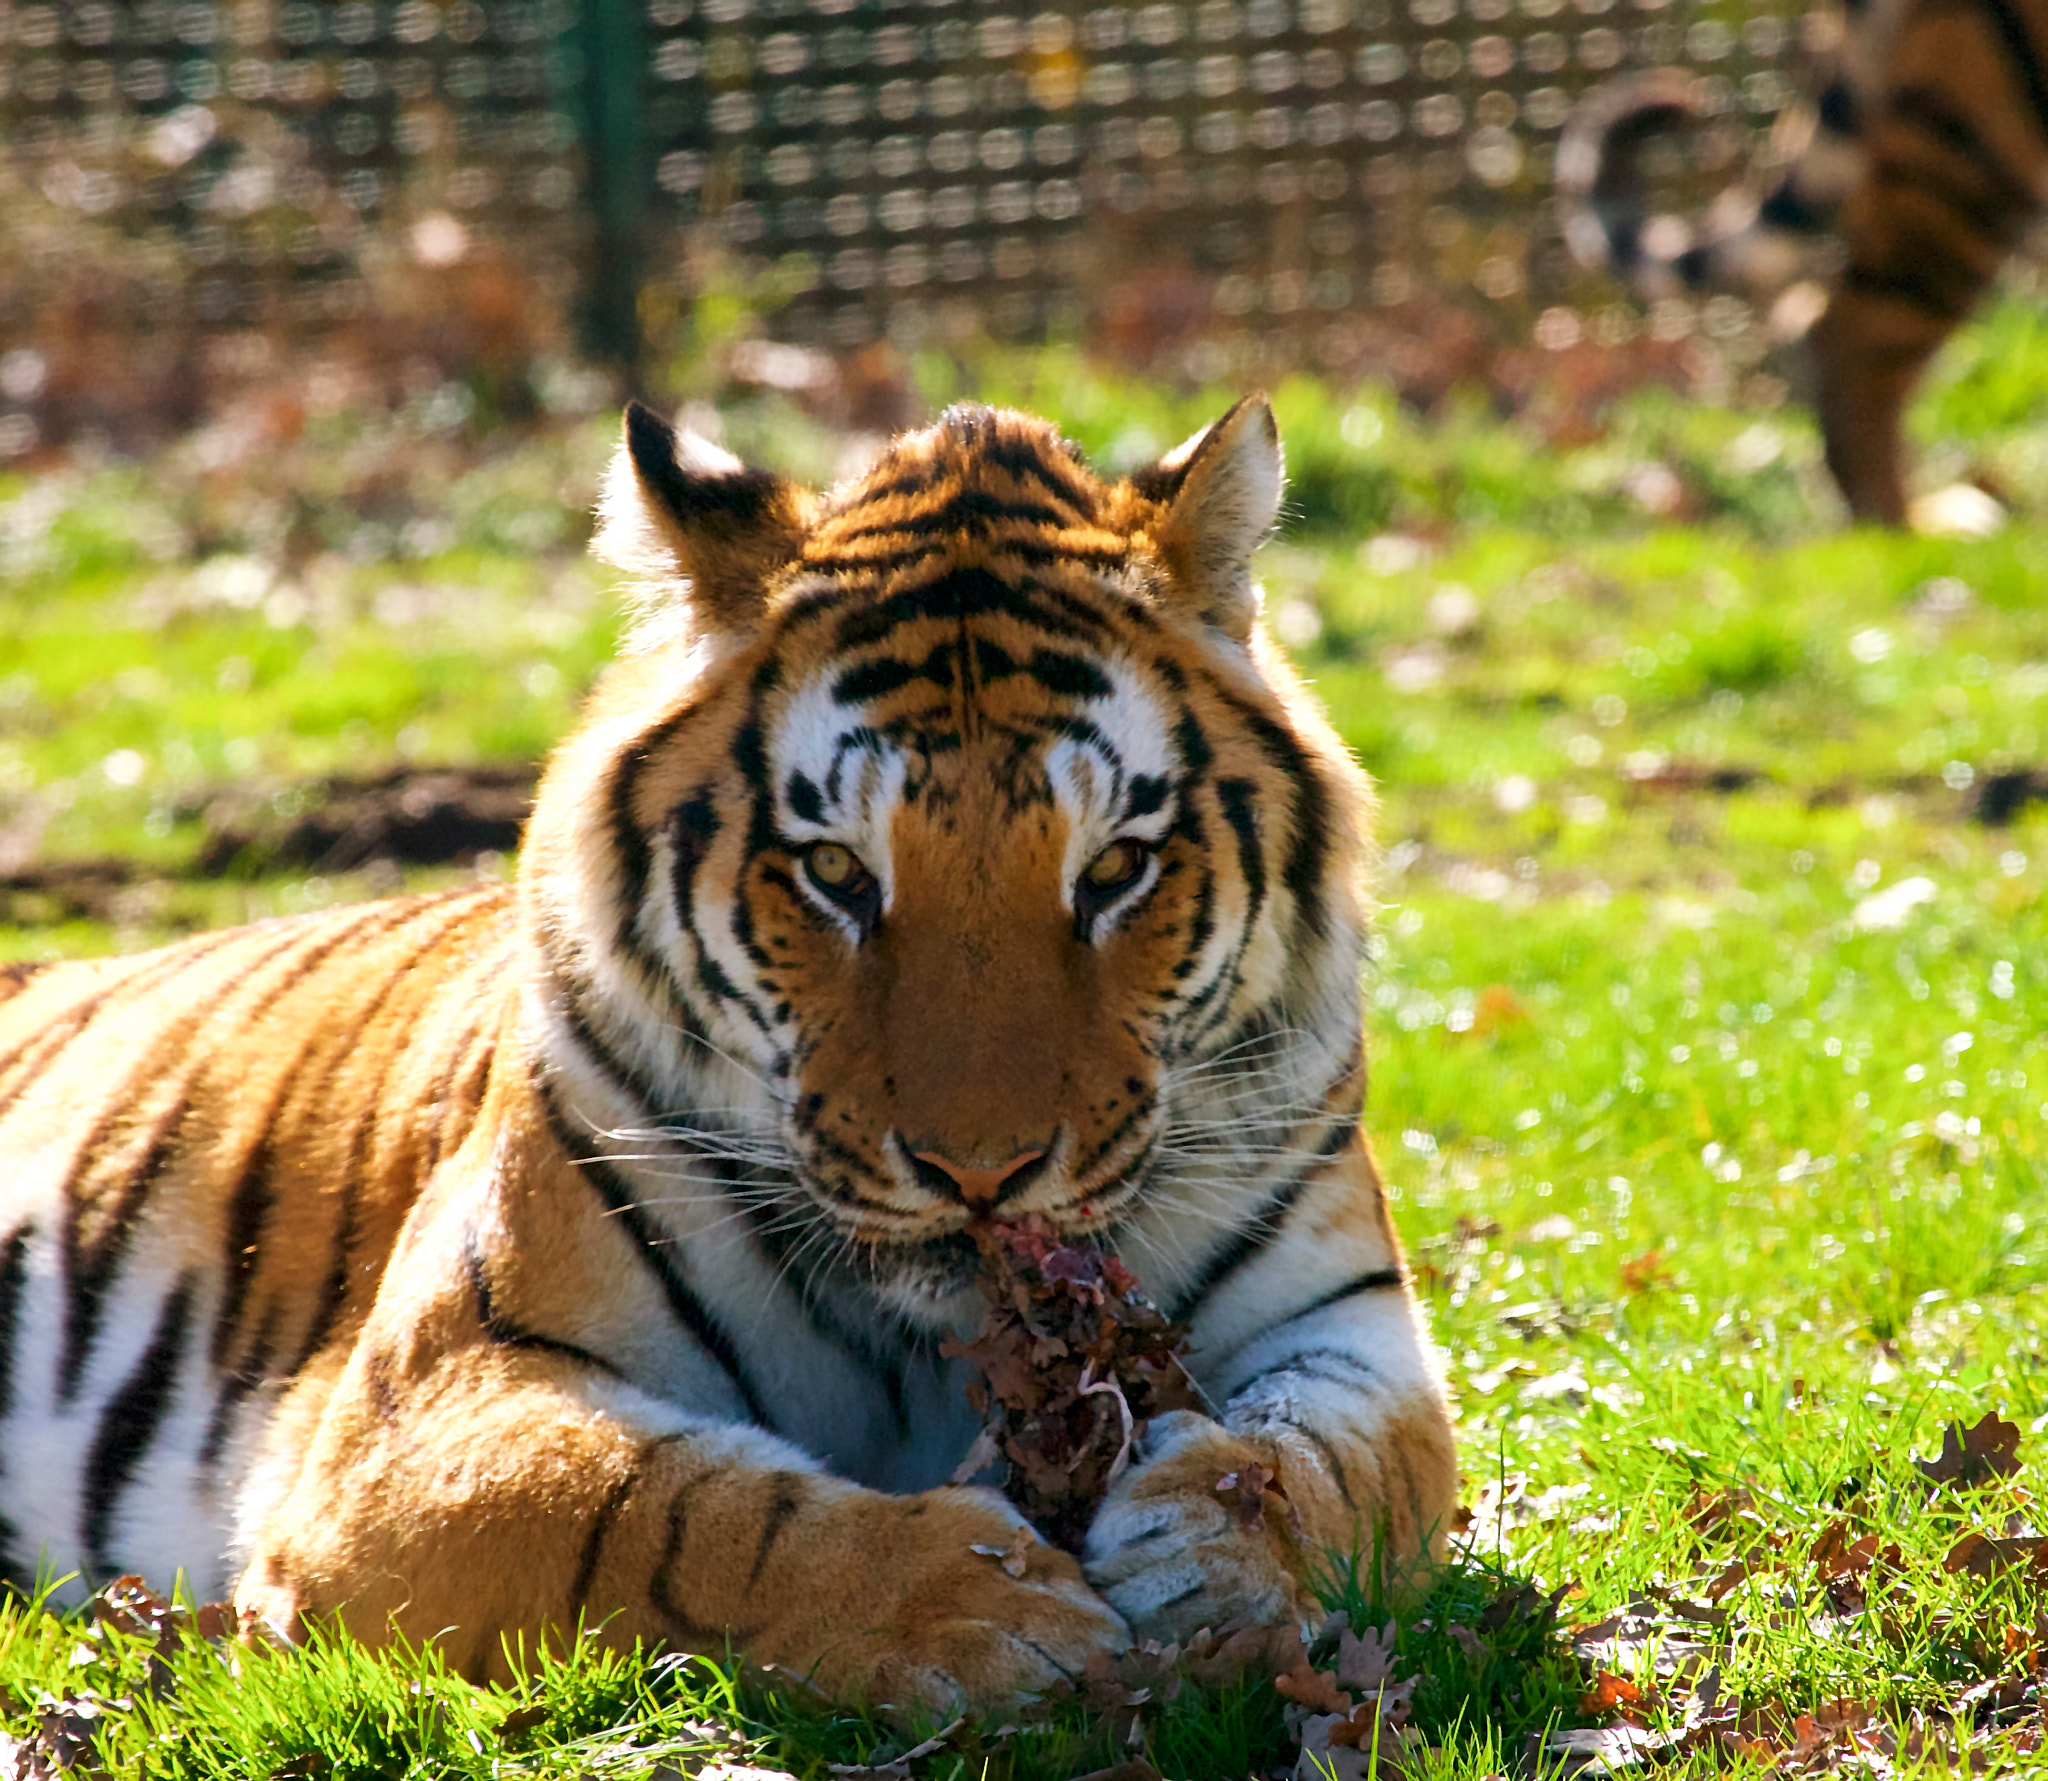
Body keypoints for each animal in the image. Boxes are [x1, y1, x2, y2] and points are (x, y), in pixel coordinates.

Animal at [0, 397, 1457, 1711]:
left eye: (1112, 870)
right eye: (836, 874)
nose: (978, 1177)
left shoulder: (1353, 1329)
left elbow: (1338, 1467)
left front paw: (1208, 1549)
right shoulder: (423, 1404)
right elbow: (667, 1508)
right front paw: (980, 1607)